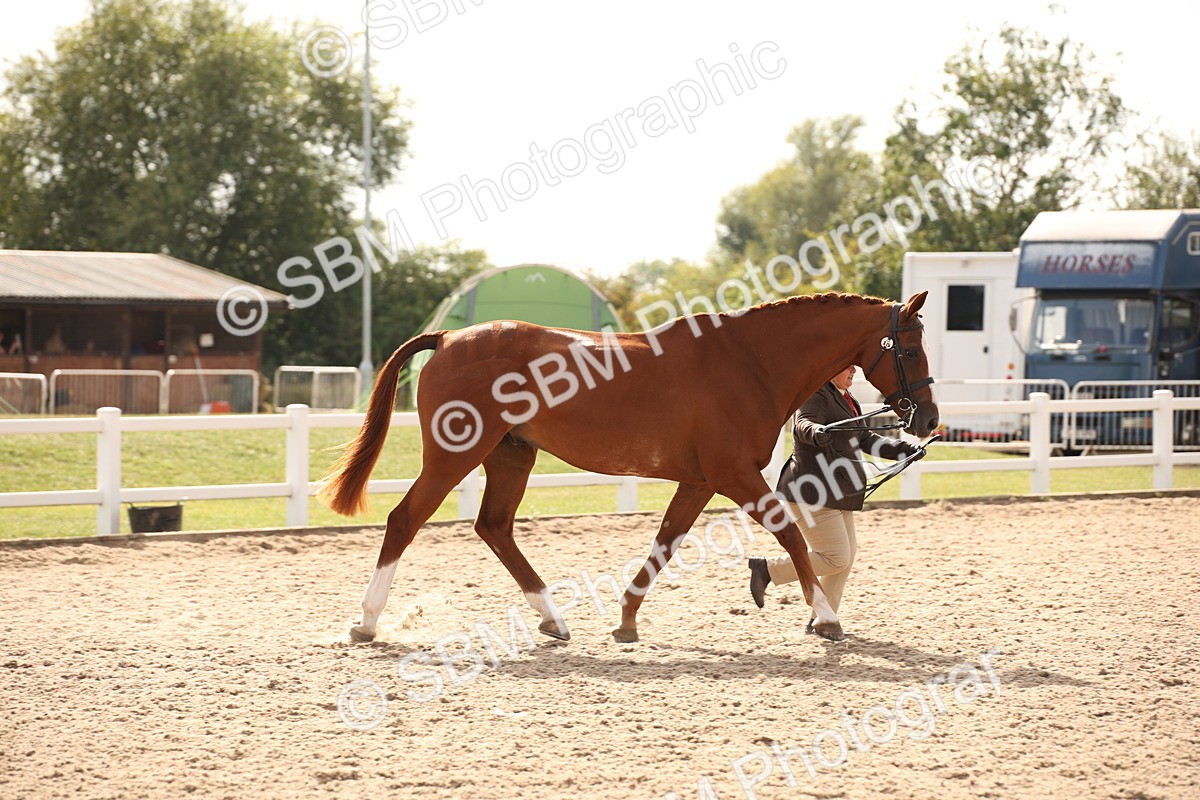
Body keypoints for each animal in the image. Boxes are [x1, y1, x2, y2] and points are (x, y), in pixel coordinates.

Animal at [317, 291, 938, 644]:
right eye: (909, 349)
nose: (929, 418)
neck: (749, 362)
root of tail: (449, 338)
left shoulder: (700, 481)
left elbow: (665, 542)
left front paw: (626, 620)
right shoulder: (735, 476)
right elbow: (791, 537)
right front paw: (826, 619)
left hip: (512, 454)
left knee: (494, 527)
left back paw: (553, 620)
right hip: (455, 455)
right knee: (405, 520)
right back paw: (366, 623)